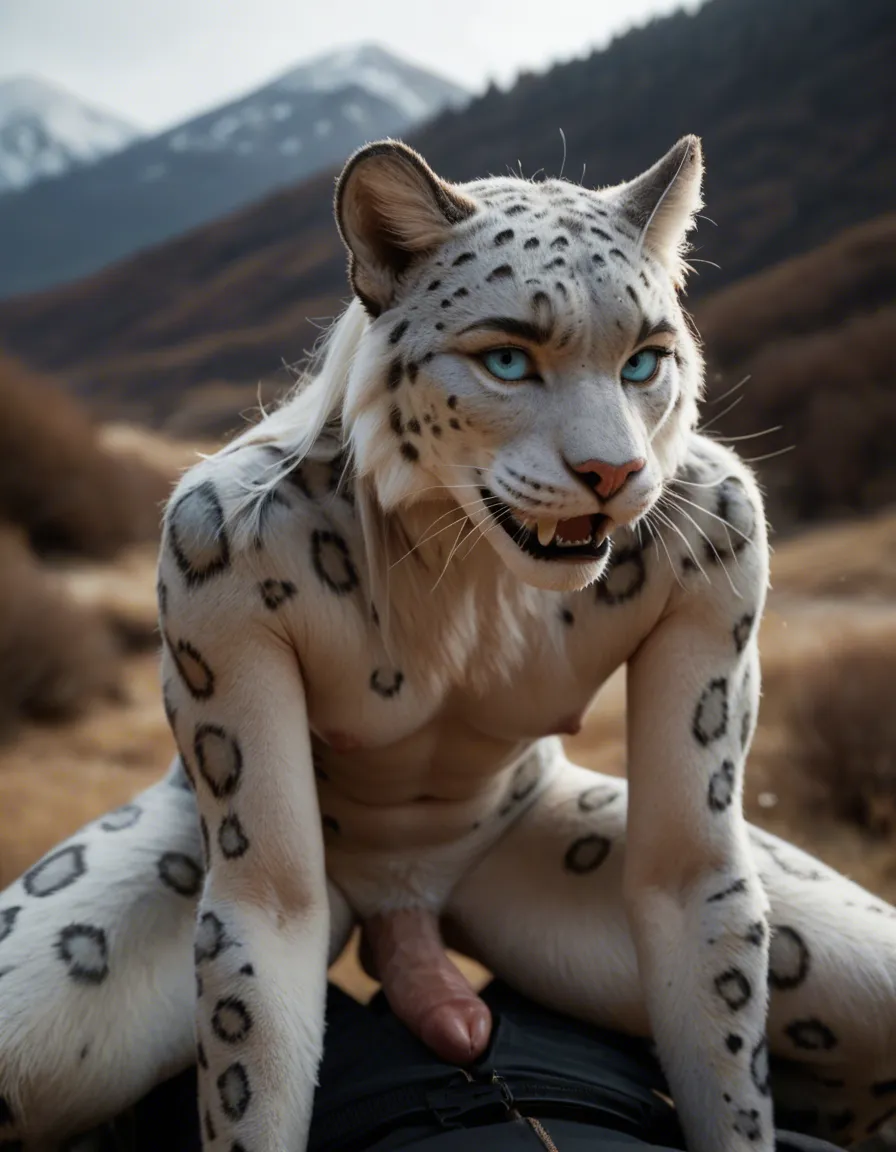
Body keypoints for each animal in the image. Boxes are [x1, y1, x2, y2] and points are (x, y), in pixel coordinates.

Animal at [1, 136, 894, 1152]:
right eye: (506, 357)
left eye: (643, 361)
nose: (615, 472)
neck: (466, 569)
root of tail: (408, 900)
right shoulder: (212, 579)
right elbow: (255, 991)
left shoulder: (725, 559)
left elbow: (701, 925)